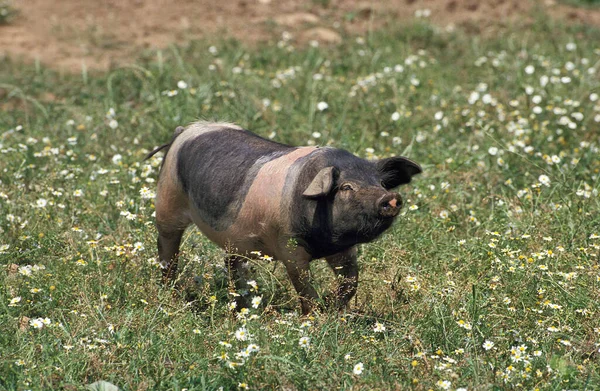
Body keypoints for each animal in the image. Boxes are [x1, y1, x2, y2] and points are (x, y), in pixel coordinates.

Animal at [146, 121, 422, 314]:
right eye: (346, 187)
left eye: (380, 183)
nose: (390, 197)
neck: (323, 241)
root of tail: (184, 129)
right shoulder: (289, 245)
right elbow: (302, 283)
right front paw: (316, 314)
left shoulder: (344, 249)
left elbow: (351, 281)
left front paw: (335, 308)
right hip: (168, 200)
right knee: (168, 247)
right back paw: (170, 292)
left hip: (235, 240)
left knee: (232, 264)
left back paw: (241, 306)